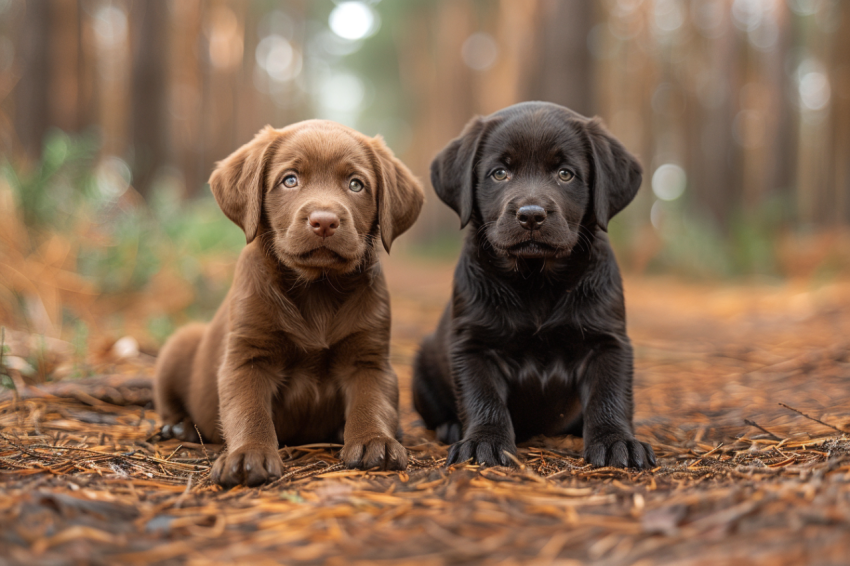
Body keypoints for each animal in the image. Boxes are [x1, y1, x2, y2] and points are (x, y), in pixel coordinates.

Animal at [153, 121, 424, 488]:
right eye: (290, 179)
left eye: (356, 184)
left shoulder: (369, 358)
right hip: (179, 344)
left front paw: (374, 441)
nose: (324, 221)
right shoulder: (248, 357)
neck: (317, 290)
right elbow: (249, 412)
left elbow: (372, 403)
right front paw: (247, 455)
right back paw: (177, 426)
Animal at [410, 101, 656, 470]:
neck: (536, 280)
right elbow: (483, 398)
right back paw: (452, 427)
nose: (530, 215)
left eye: (565, 174)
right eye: (499, 173)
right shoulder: (473, 345)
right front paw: (483, 443)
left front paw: (617, 442)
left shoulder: (608, 342)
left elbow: (610, 396)